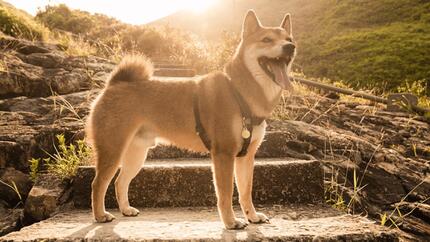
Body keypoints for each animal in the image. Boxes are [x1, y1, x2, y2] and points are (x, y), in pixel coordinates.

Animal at [87, 9, 296, 229]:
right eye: (267, 39)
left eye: (289, 39)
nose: (290, 47)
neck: (240, 92)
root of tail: (113, 84)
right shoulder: (224, 154)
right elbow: (226, 194)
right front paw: (231, 222)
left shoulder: (246, 157)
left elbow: (246, 191)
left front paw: (252, 217)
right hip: (112, 149)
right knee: (98, 183)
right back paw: (100, 215)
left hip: (136, 154)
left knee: (120, 181)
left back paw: (126, 210)